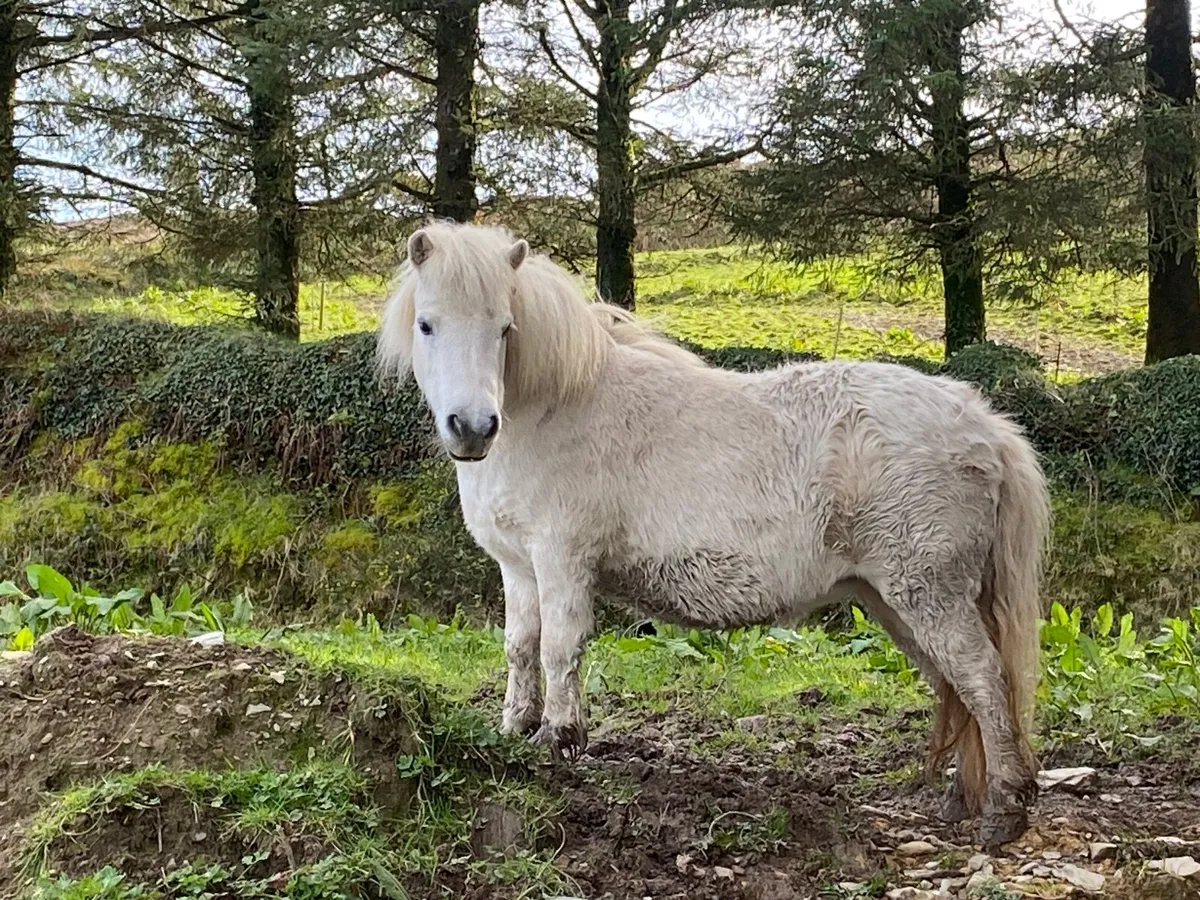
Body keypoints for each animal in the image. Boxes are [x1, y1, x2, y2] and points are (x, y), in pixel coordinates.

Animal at [376, 219, 1050, 849]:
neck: (552, 408)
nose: (472, 427)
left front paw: (556, 743)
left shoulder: (562, 560)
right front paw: (513, 731)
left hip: (928, 596)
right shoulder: (518, 567)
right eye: (428, 325)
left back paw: (1003, 810)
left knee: (983, 680)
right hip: (894, 603)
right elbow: (520, 646)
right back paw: (962, 800)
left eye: (505, 329)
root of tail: (983, 423)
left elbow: (559, 649)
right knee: (956, 687)